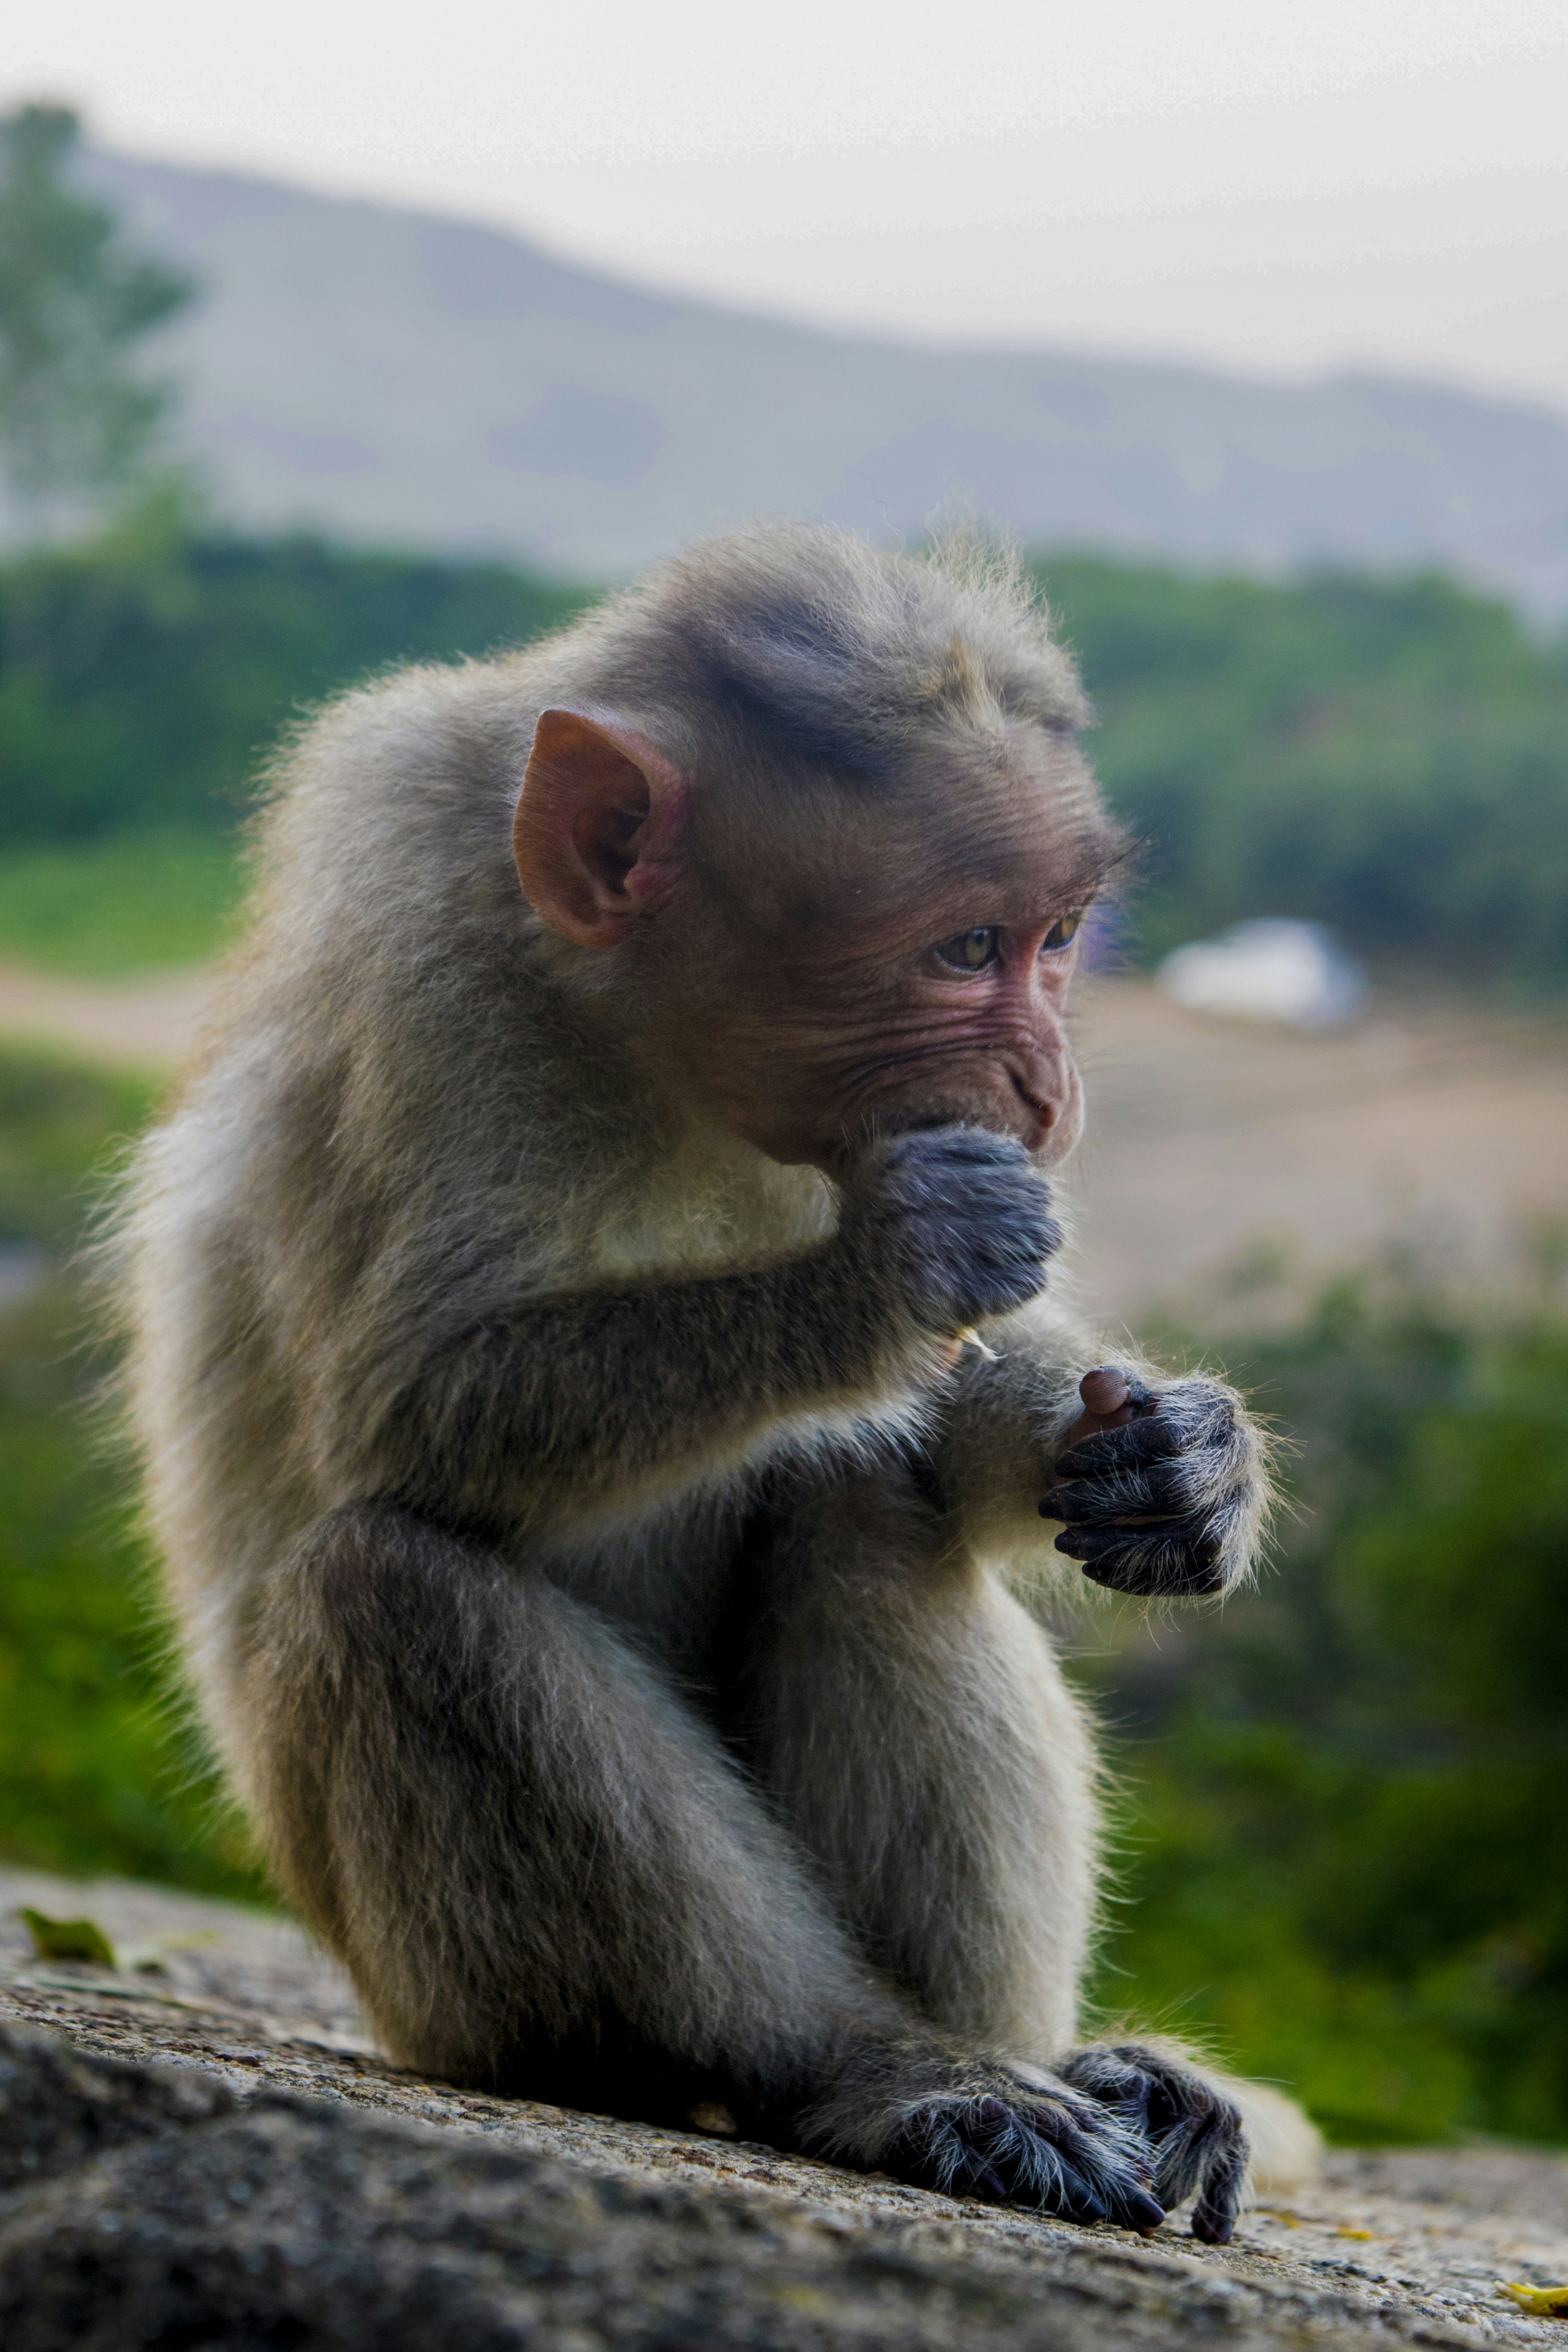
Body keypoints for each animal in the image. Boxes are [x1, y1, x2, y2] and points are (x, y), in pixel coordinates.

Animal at [114, 522, 1291, 2244]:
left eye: (1060, 937)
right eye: (965, 949)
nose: (1050, 1086)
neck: (650, 1050)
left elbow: (951, 1417)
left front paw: (1184, 1462)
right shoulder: (422, 966)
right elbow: (403, 1407)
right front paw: (890, 1271)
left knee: (863, 1501)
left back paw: (1058, 2067)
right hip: (436, 1990)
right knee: (389, 1585)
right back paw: (858, 2069)